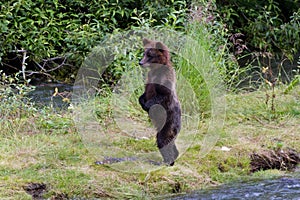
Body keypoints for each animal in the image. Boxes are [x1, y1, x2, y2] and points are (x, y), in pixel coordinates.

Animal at [138, 38, 180, 166]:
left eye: (150, 55)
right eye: (144, 53)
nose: (140, 62)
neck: (156, 69)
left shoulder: (165, 79)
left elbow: (162, 95)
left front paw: (147, 105)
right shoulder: (149, 78)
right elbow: (144, 93)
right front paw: (141, 102)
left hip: (169, 122)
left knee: (162, 140)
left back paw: (167, 162)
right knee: (166, 141)